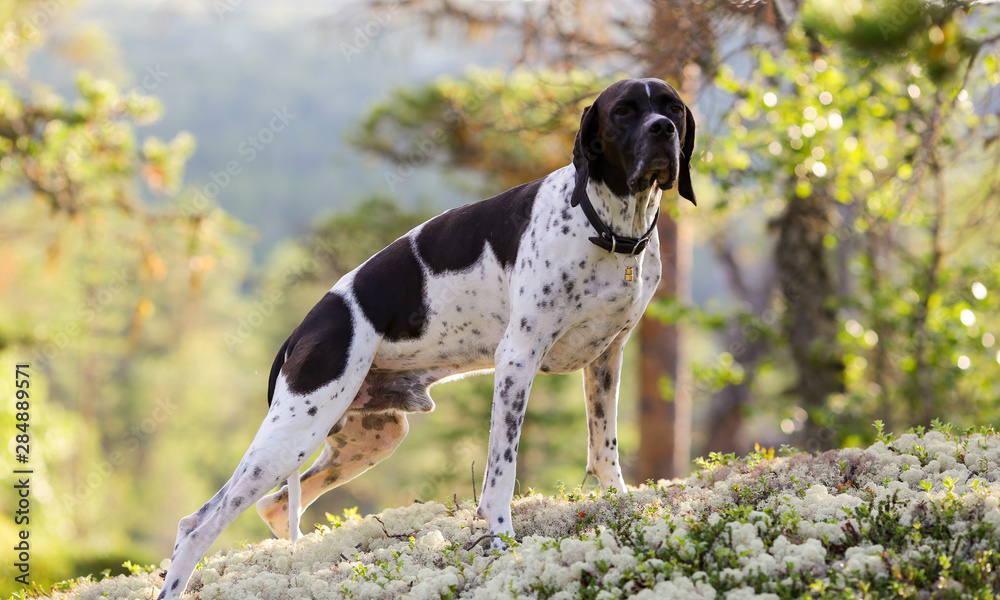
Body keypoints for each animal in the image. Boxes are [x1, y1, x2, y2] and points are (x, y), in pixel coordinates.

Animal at [160, 77, 700, 596]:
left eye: (672, 108)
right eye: (623, 111)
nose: (662, 130)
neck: (606, 227)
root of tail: (301, 331)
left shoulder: (606, 360)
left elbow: (604, 450)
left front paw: (621, 509)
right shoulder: (517, 360)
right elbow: (501, 473)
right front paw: (501, 541)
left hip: (368, 438)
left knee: (267, 509)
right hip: (294, 433)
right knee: (198, 525)